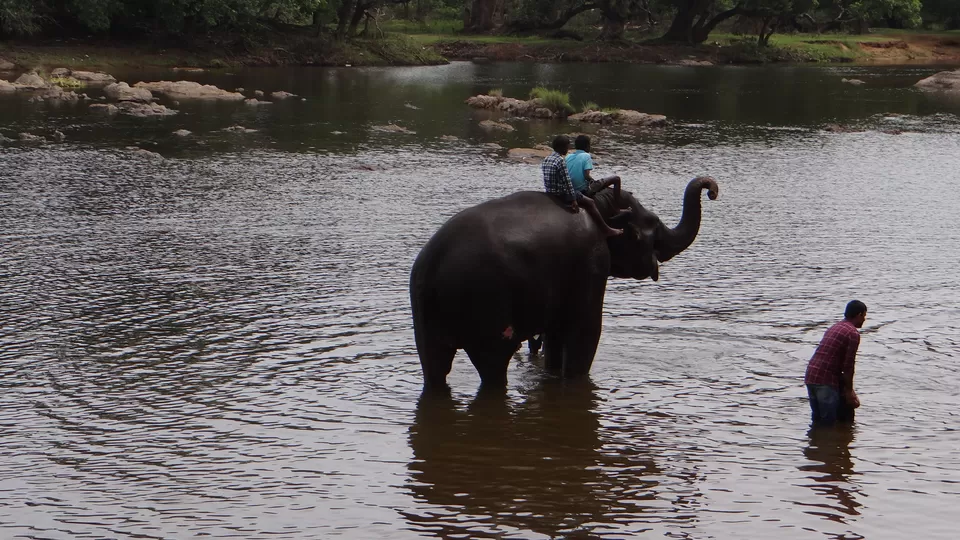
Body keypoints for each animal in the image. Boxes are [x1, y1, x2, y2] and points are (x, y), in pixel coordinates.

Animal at [409, 176, 719, 390]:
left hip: (424, 314)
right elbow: (586, 332)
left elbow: (556, 336)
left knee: (434, 365)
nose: (711, 190)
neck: (599, 203)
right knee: (493, 364)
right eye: (652, 225)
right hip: (486, 304)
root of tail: (431, 266)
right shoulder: (591, 264)